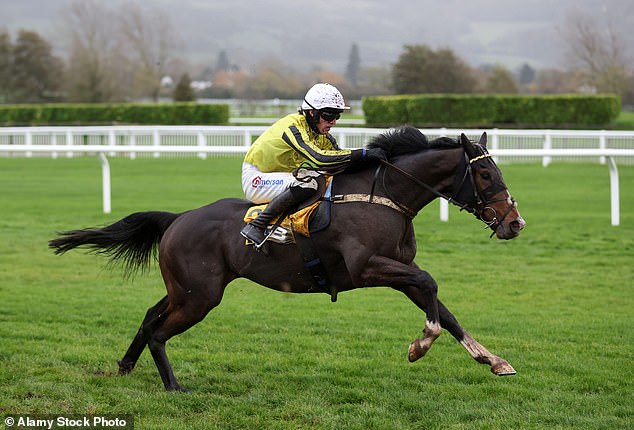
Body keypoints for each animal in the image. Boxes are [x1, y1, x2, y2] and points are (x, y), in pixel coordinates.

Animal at [48, 126, 524, 392]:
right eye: (485, 173)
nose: (514, 223)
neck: (384, 195)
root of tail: (178, 218)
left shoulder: (397, 271)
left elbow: (442, 306)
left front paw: (493, 360)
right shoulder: (368, 267)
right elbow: (429, 286)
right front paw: (419, 345)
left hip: (185, 289)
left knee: (150, 317)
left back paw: (126, 365)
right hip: (200, 296)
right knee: (160, 333)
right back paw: (173, 386)